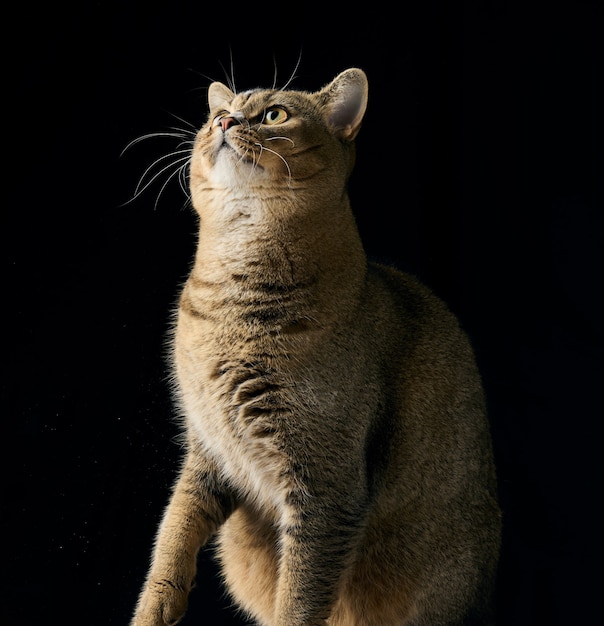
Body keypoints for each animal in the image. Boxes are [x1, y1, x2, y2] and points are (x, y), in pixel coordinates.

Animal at [131, 68, 500, 624]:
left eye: (274, 114)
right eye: (217, 113)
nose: (224, 121)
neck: (229, 309)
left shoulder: (327, 488)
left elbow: (299, 596)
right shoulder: (206, 452)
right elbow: (170, 542)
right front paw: (154, 612)